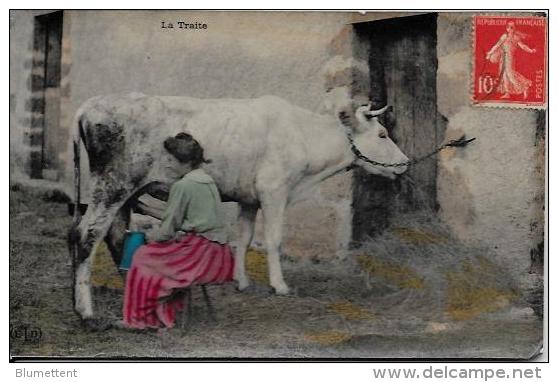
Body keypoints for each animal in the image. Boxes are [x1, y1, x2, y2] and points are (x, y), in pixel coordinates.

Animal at [71, 93, 412, 328]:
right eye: (382, 135)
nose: (405, 163)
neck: (303, 135)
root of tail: (88, 106)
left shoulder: (249, 198)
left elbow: (244, 238)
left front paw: (241, 281)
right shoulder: (274, 190)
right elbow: (273, 239)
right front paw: (279, 285)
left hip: (126, 193)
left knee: (116, 235)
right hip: (112, 185)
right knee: (87, 235)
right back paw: (86, 312)